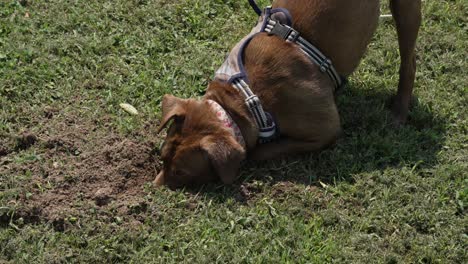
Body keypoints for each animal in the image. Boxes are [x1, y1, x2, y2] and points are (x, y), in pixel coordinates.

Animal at [154, 0, 420, 190]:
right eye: (162, 157)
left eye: (182, 173)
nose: (157, 188)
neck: (241, 101)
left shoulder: (325, 129)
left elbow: (256, 151)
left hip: (406, 10)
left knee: (409, 61)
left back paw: (399, 111)